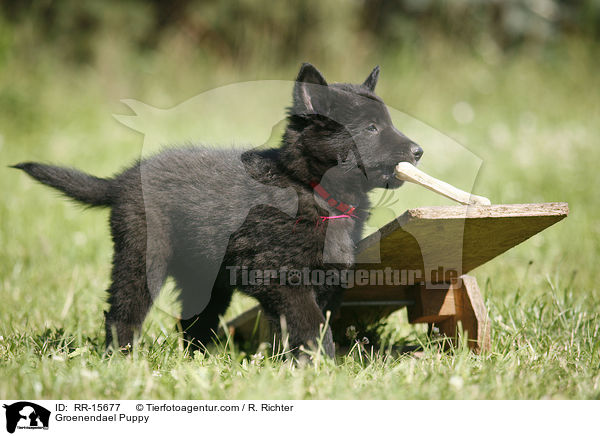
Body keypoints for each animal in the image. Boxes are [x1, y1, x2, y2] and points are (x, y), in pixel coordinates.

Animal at [14, 64, 422, 358]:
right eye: (371, 128)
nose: (418, 151)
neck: (310, 188)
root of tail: (123, 179)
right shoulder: (280, 275)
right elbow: (308, 324)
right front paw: (320, 364)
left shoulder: (325, 280)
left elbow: (306, 324)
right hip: (142, 257)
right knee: (123, 311)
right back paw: (122, 357)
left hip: (206, 278)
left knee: (193, 322)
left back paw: (196, 360)